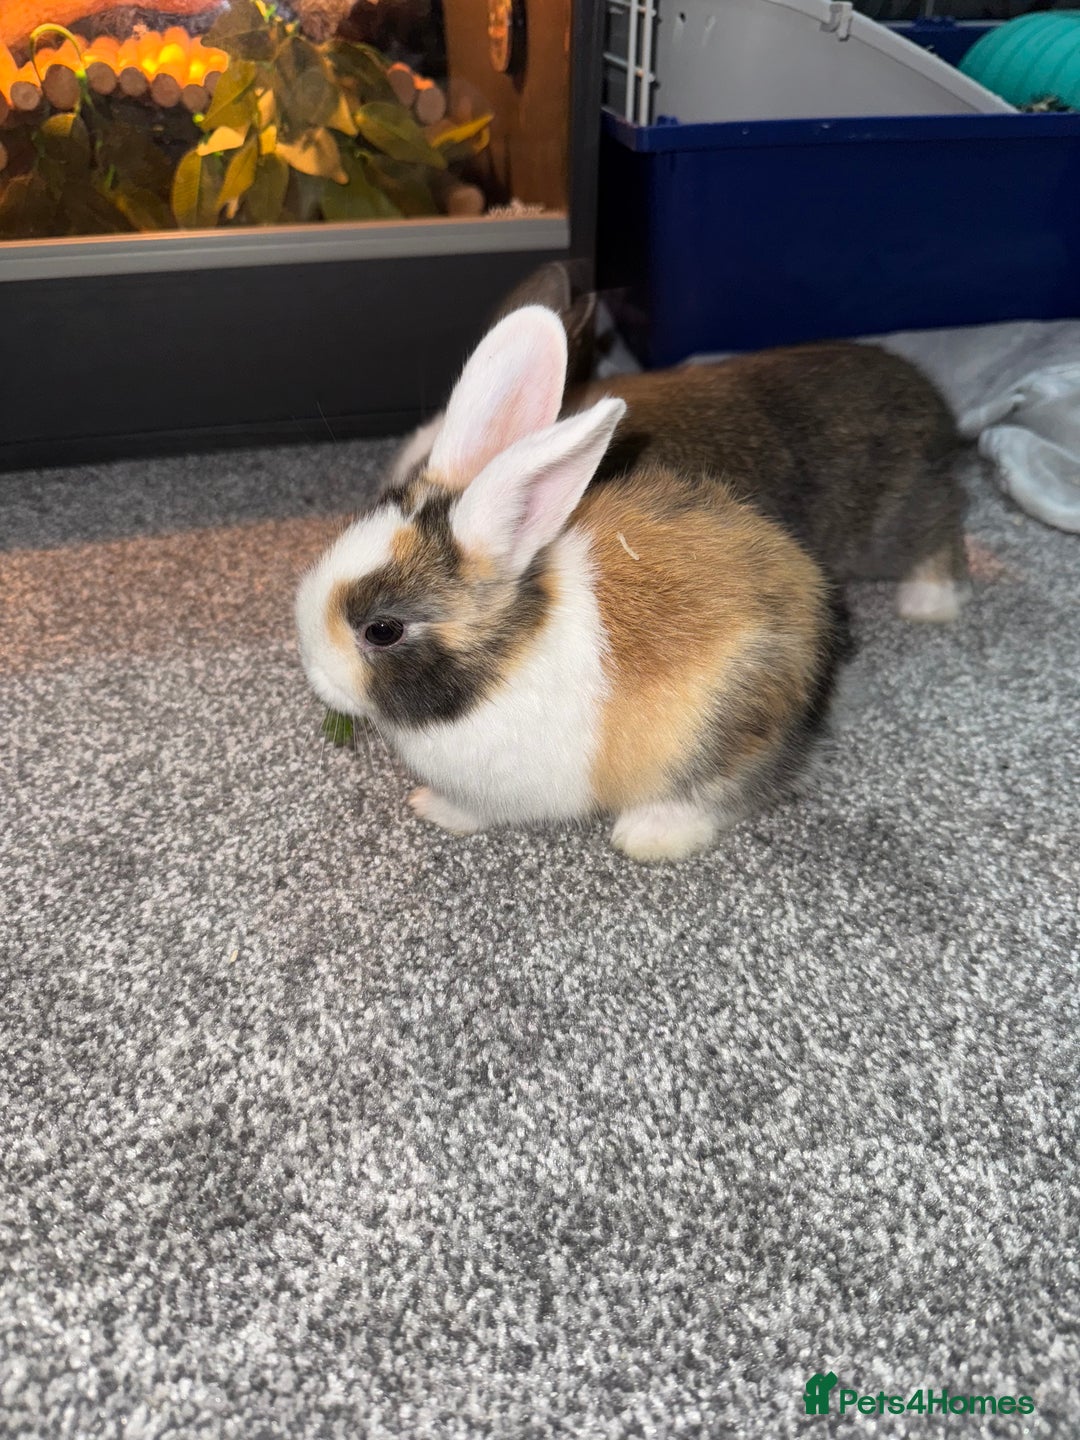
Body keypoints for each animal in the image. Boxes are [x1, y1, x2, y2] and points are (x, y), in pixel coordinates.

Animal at [296, 305, 847, 862]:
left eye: (382, 630)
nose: (314, 675)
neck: (504, 659)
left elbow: (473, 811)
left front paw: (430, 807)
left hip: (720, 734)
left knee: (728, 795)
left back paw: (645, 836)